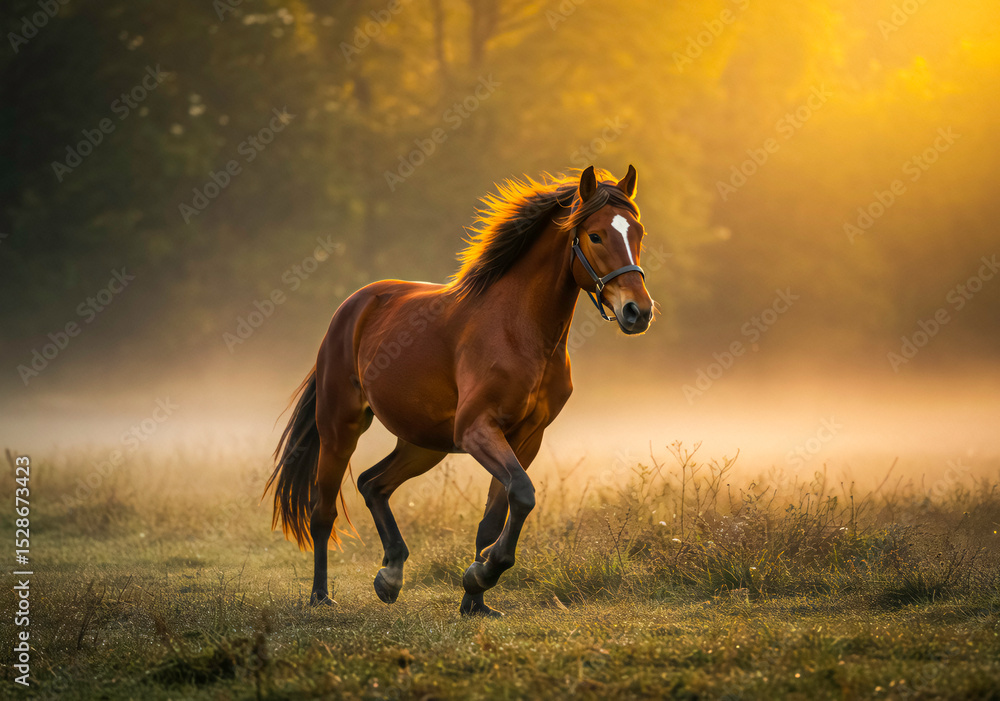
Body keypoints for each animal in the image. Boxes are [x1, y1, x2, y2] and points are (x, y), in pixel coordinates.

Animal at [265, 165, 654, 616]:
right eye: (595, 235)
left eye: (638, 232)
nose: (638, 311)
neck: (520, 329)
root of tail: (354, 305)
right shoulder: (477, 430)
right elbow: (523, 494)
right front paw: (481, 574)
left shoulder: (526, 439)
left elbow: (497, 514)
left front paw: (475, 597)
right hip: (340, 428)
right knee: (322, 512)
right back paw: (321, 596)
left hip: (423, 444)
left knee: (372, 483)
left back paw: (390, 575)